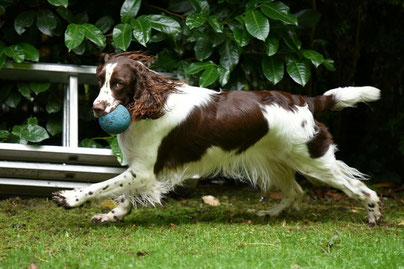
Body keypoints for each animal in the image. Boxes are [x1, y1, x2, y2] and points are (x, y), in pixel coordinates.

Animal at [52, 51, 382, 225]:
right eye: (99, 81)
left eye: (119, 84)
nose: (97, 108)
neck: (151, 105)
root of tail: (307, 101)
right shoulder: (141, 169)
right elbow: (122, 194)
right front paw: (113, 215)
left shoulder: (144, 169)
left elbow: (103, 186)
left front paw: (70, 198)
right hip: (275, 159)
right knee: (296, 192)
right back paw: (269, 212)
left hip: (314, 161)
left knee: (362, 189)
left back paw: (373, 215)